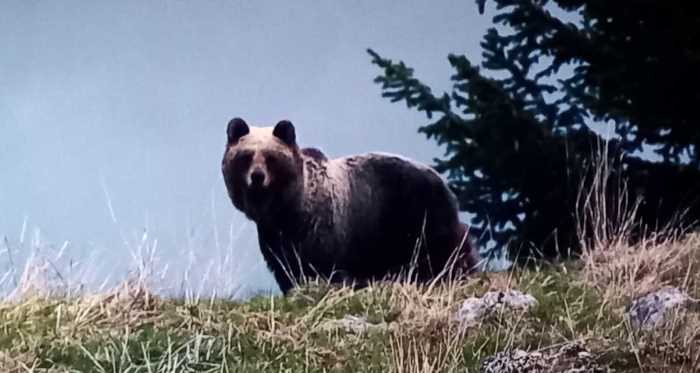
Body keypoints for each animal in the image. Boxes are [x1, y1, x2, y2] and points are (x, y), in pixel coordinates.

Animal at [221, 117, 478, 292]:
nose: (257, 177)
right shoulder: (274, 241)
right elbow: (286, 271)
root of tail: (444, 182)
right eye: (246, 155)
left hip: (417, 216)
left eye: (270, 157)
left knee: (445, 253)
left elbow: (325, 270)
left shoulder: (323, 231)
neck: (287, 210)